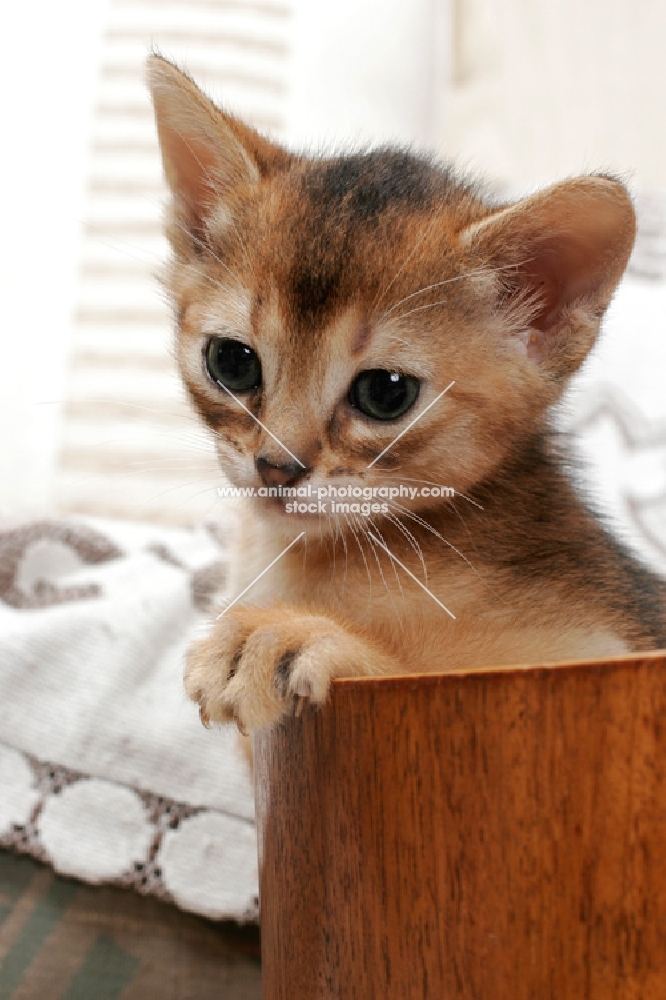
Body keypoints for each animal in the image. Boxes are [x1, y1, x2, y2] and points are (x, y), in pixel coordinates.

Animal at [147, 54, 664, 736]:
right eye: (232, 362)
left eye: (385, 393)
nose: (276, 467)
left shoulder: (600, 657)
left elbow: (419, 675)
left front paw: (300, 638)